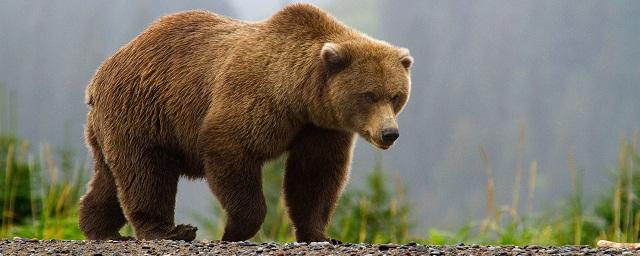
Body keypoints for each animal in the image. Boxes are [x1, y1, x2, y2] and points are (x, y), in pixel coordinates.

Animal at [79, 2, 410, 242]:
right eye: (369, 95)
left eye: (396, 96)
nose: (389, 133)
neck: (299, 96)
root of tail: (99, 75)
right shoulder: (256, 98)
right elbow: (231, 149)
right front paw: (233, 230)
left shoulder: (320, 127)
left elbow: (315, 174)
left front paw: (320, 234)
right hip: (144, 110)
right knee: (147, 172)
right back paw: (169, 231)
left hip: (115, 124)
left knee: (110, 177)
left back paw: (100, 228)